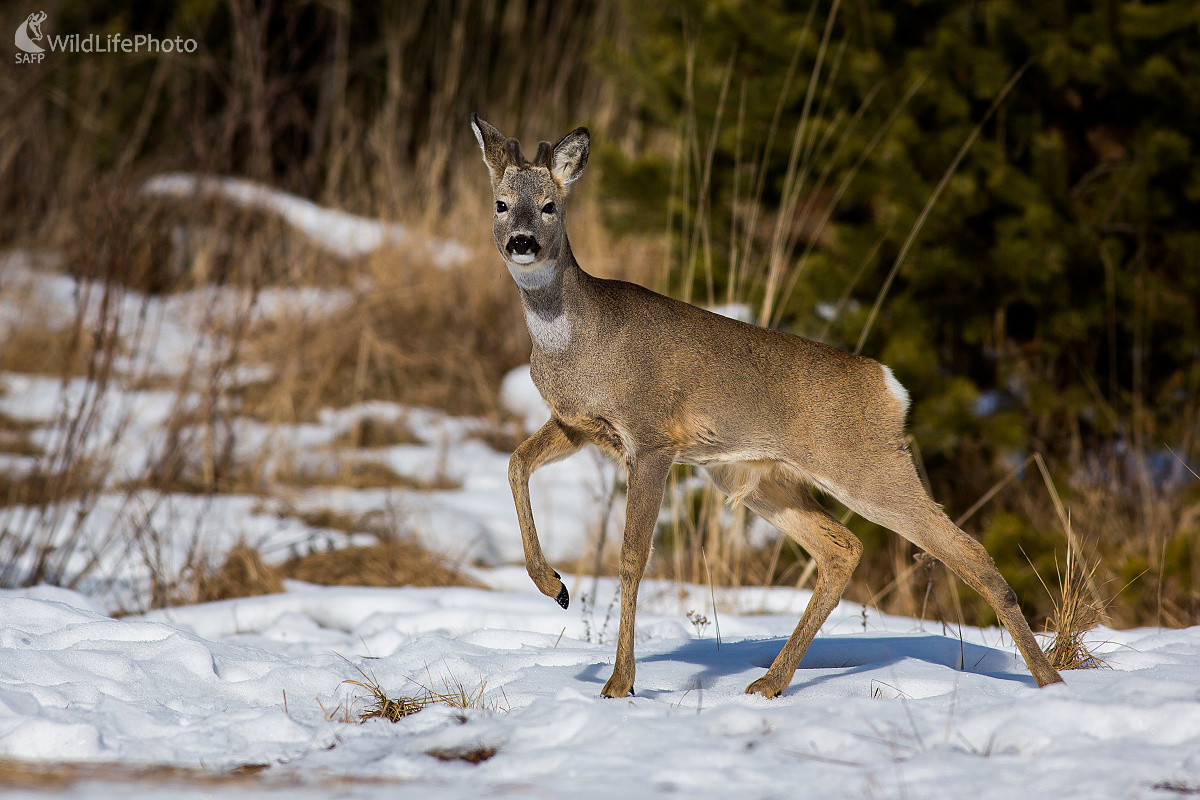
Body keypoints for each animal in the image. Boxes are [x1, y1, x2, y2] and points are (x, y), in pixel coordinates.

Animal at [468, 113, 1060, 700]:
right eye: (500, 203)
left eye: (550, 205)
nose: (522, 241)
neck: (577, 344)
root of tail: (889, 385)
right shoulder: (578, 425)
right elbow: (515, 463)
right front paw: (554, 586)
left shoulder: (652, 437)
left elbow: (633, 556)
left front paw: (619, 682)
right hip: (761, 478)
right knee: (842, 548)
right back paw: (769, 683)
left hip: (867, 464)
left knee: (967, 550)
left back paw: (1050, 680)